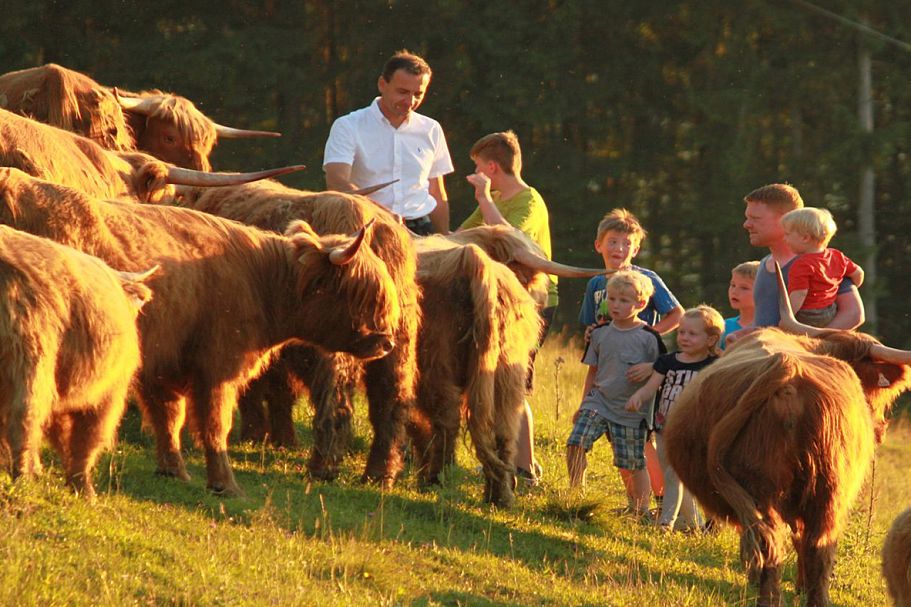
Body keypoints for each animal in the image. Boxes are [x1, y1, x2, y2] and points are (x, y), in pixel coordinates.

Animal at [0, 226, 154, 496]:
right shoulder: (110, 393)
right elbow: (87, 438)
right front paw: (83, 489)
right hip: (32, 362)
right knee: (26, 416)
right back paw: (23, 478)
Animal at [664, 268, 911, 607]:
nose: (881, 429)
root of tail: (785, 367)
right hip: (824, 491)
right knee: (812, 548)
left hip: (778, 492)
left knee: (781, 545)